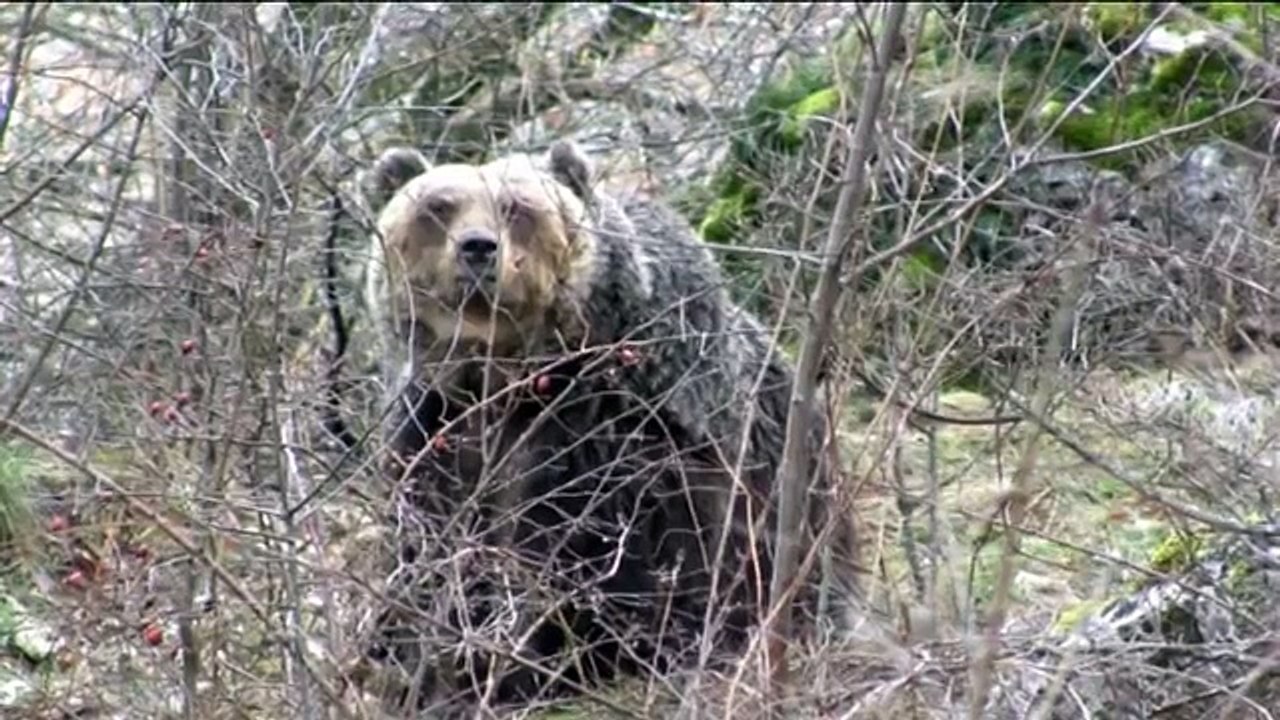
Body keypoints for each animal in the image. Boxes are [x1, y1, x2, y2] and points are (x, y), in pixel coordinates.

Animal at [353, 140, 859, 715]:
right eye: (438, 207)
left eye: (517, 207)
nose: (478, 247)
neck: (504, 377)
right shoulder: (436, 423)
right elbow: (423, 542)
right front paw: (408, 659)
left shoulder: (607, 426)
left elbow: (575, 548)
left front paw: (516, 664)